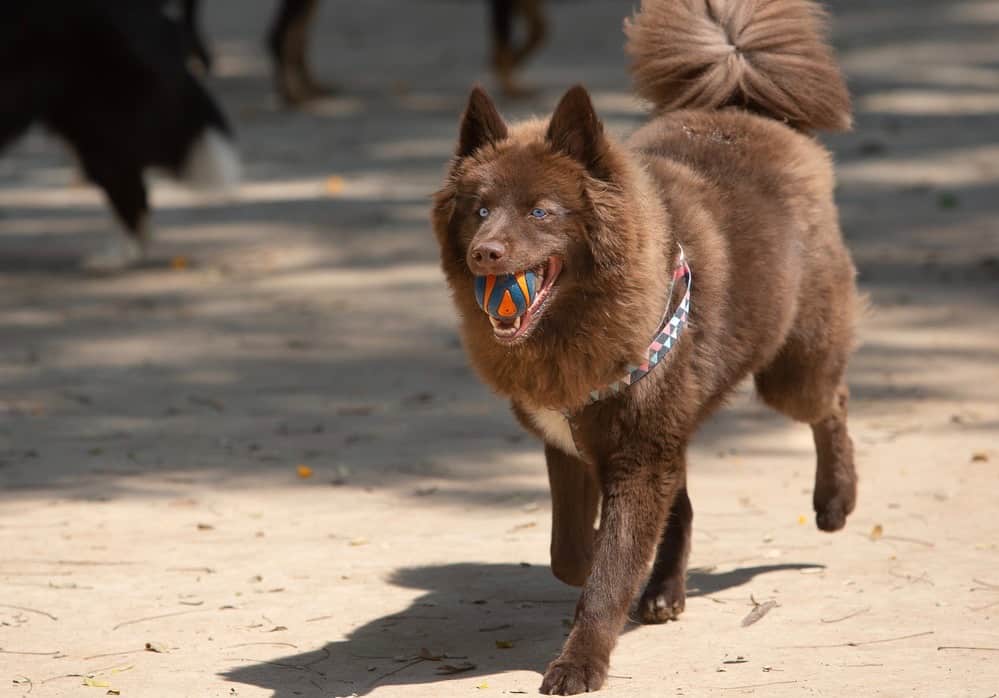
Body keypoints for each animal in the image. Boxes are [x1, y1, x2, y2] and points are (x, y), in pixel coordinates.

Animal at [432, 0, 860, 692]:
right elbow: (571, 553)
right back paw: (664, 590)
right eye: (479, 209)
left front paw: (579, 662)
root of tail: (745, 108)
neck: (577, 326)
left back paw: (835, 501)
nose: (484, 254)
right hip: (677, 423)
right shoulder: (575, 445)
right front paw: (602, 564)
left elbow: (608, 570)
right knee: (682, 502)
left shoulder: (636, 454)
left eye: (542, 211)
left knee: (832, 402)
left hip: (789, 371)